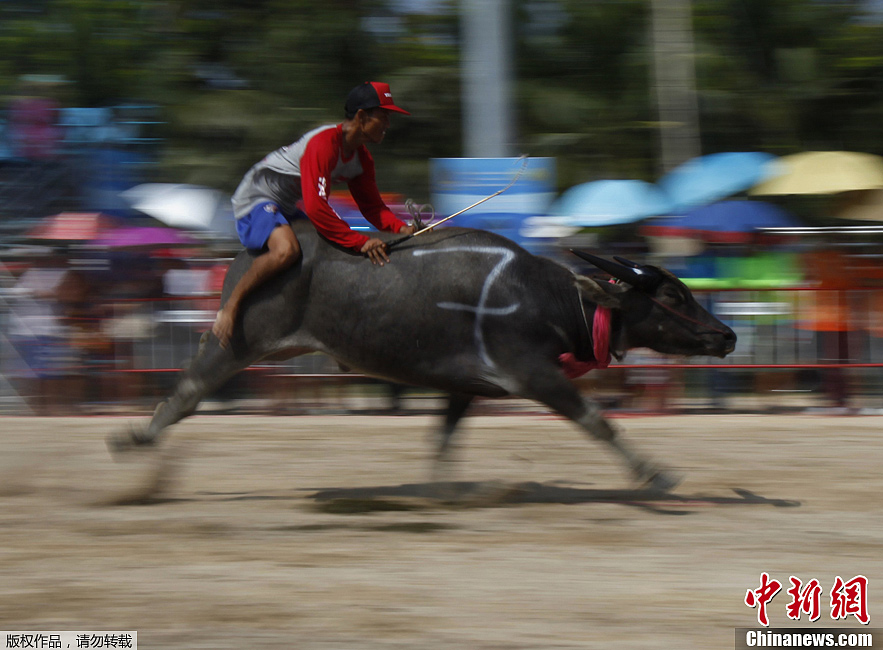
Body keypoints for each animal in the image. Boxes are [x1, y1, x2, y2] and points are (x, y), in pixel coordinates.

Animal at [110, 220, 736, 488]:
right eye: (673, 296)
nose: (726, 335)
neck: (544, 295)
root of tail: (254, 249)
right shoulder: (534, 376)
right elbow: (597, 421)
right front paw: (654, 473)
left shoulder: (467, 387)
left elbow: (443, 438)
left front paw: (439, 491)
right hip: (236, 343)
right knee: (188, 391)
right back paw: (134, 442)